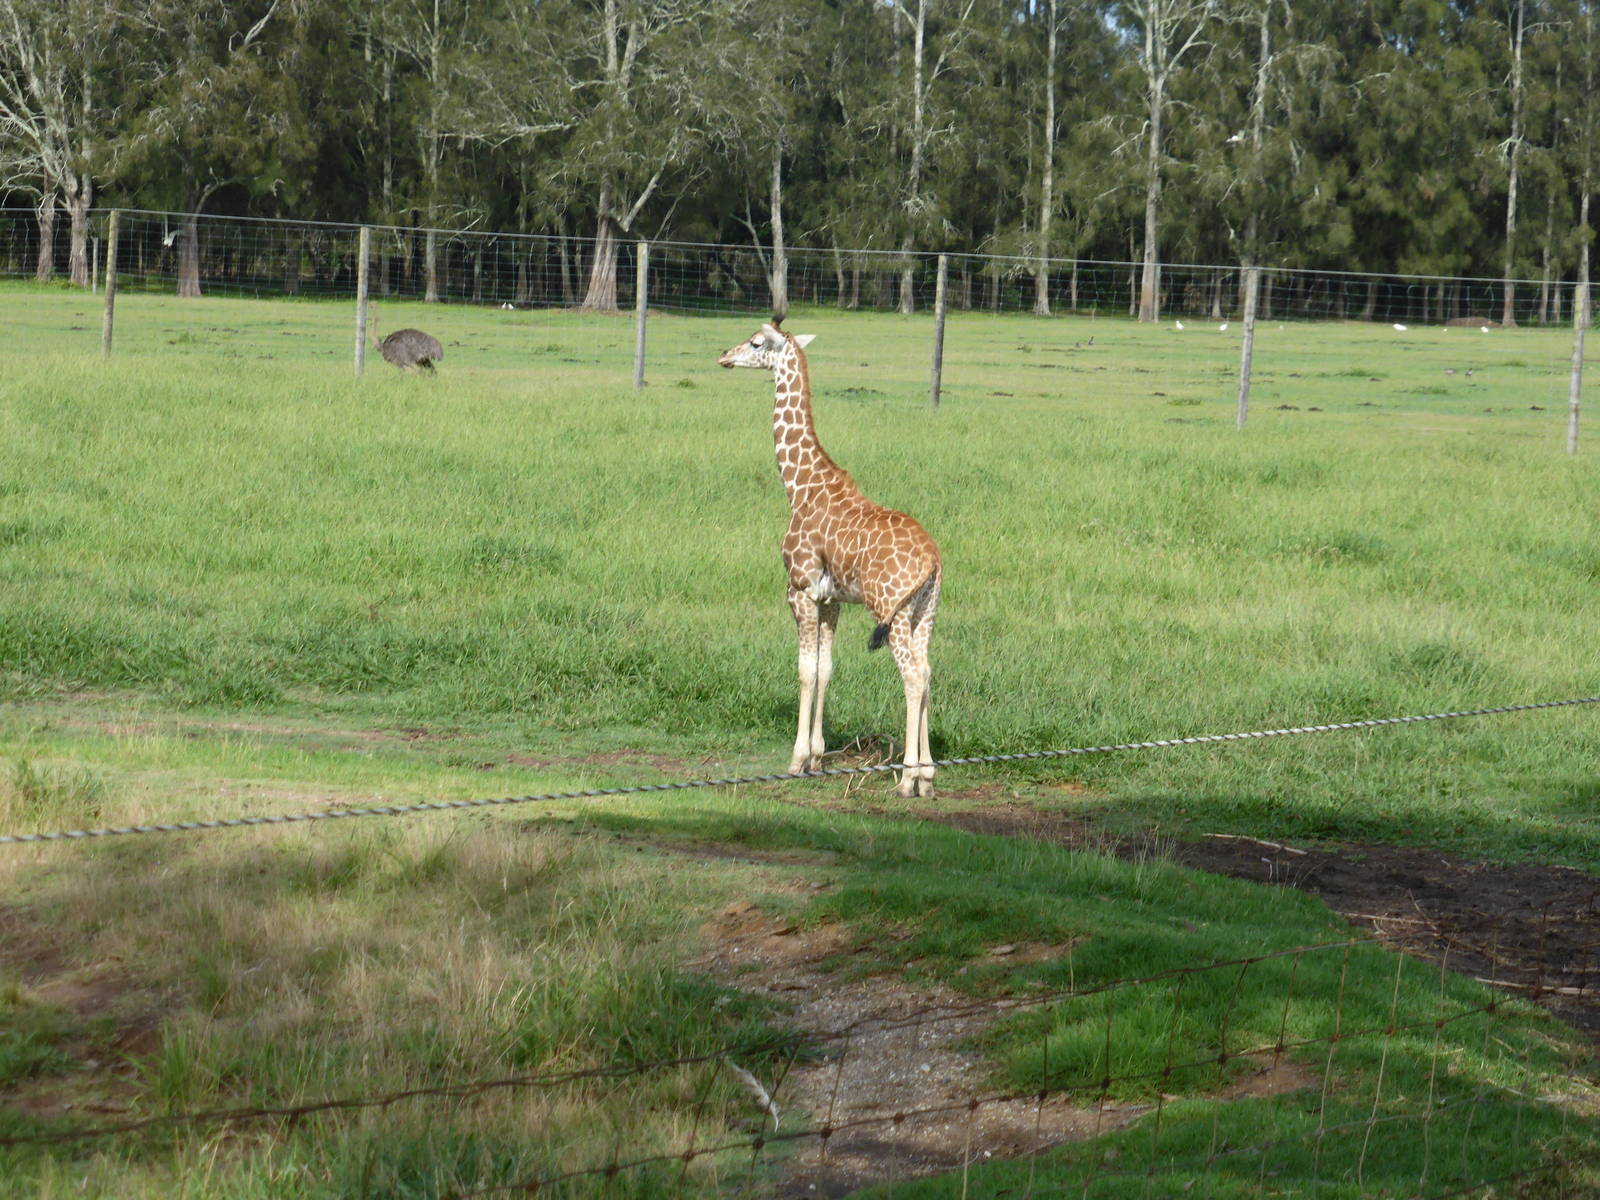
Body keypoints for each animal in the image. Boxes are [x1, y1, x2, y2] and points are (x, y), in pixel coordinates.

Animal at [718, 320, 942, 798]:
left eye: (756, 342)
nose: (724, 356)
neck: (800, 485)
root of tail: (933, 560)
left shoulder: (799, 588)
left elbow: (805, 670)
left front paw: (796, 759)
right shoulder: (832, 599)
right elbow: (826, 669)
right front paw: (817, 758)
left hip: (891, 611)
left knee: (913, 676)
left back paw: (907, 779)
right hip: (925, 612)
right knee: (929, 672)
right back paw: (929, 777)